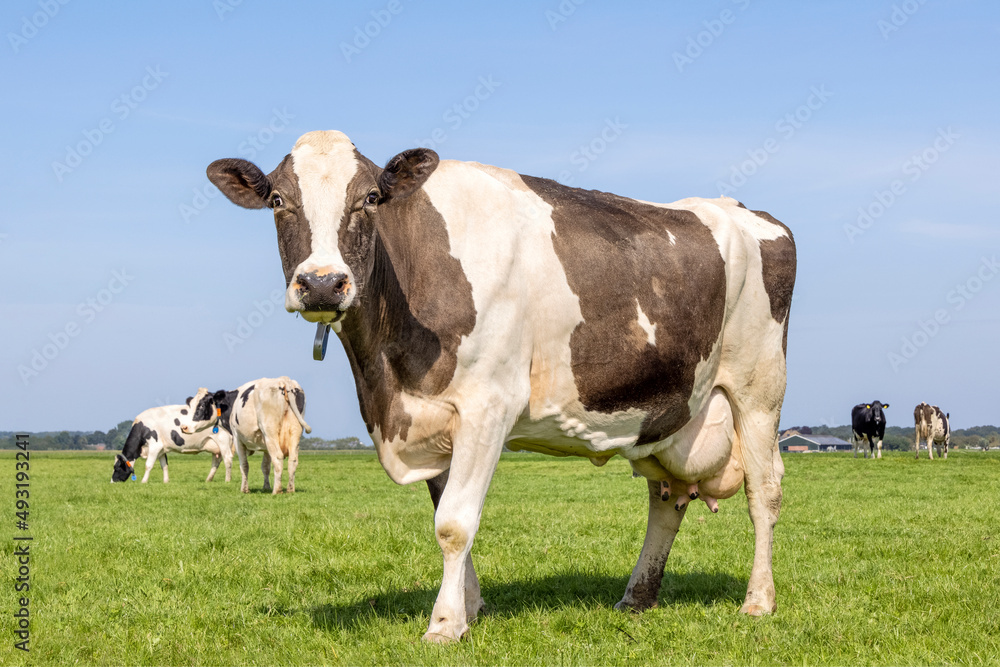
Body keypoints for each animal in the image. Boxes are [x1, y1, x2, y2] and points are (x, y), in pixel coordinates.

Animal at [209, 129, 796, 640]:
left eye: (371, 197)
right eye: (278, 199)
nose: (322, 283)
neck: (385, 378)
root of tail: (746, 211)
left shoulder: (487, 406)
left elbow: (454, 523)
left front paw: (445, 624)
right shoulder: (432, 416)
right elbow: (445, 517)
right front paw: (471, 608)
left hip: (759, 391)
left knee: (764, 492)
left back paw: (758, 600)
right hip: (668, 412)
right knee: (666, 500)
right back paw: (637, 596)